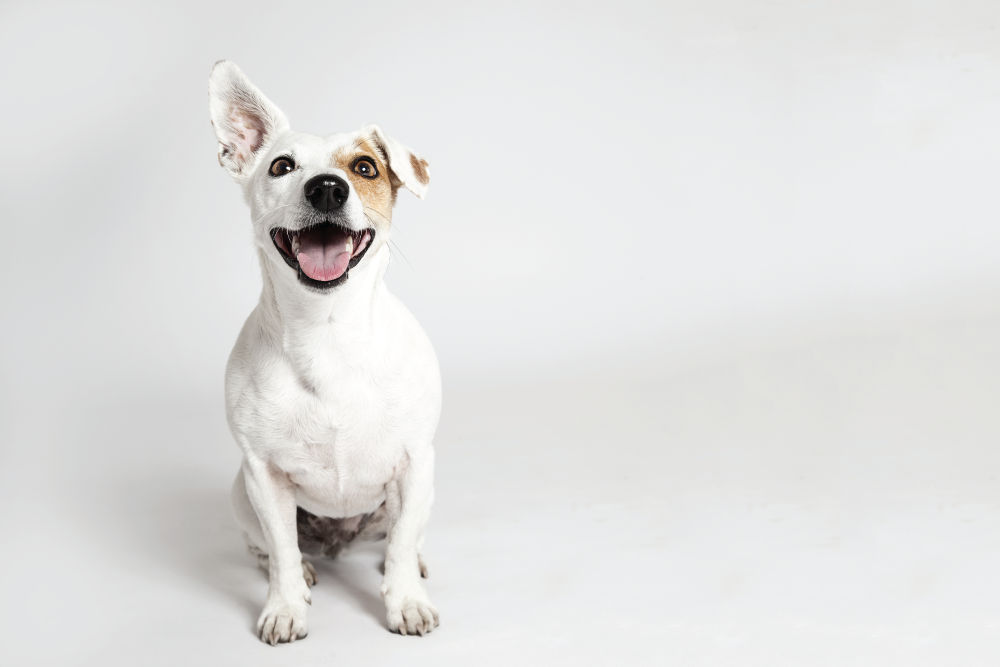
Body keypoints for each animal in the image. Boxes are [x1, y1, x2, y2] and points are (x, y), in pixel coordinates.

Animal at [209, 60, 440, 644]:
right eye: (281, 166)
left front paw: (406, 601)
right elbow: (282, 552)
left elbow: (400, 546)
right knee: (270, 547)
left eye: (365, 167)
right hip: (239, 493)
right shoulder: (262, 474)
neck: (327, 331)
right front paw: (285, 607)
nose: (328, 188)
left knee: (403, 534)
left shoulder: (414, 463)